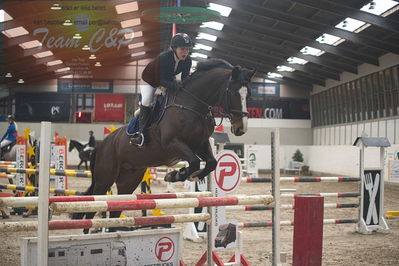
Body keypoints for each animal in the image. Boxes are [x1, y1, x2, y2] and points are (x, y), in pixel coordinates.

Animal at [74, 58, 256, 233]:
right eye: (232, 92)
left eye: (249, 94)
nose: (241, 128)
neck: (193, 105)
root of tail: (101, 145)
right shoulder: (172, 143)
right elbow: (194, 161)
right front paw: (177, 174)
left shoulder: (201, 144)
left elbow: (212, 162)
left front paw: (189, 175)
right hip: (105, 179)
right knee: (92, 210)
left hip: (129, 179)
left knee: (115, 212)